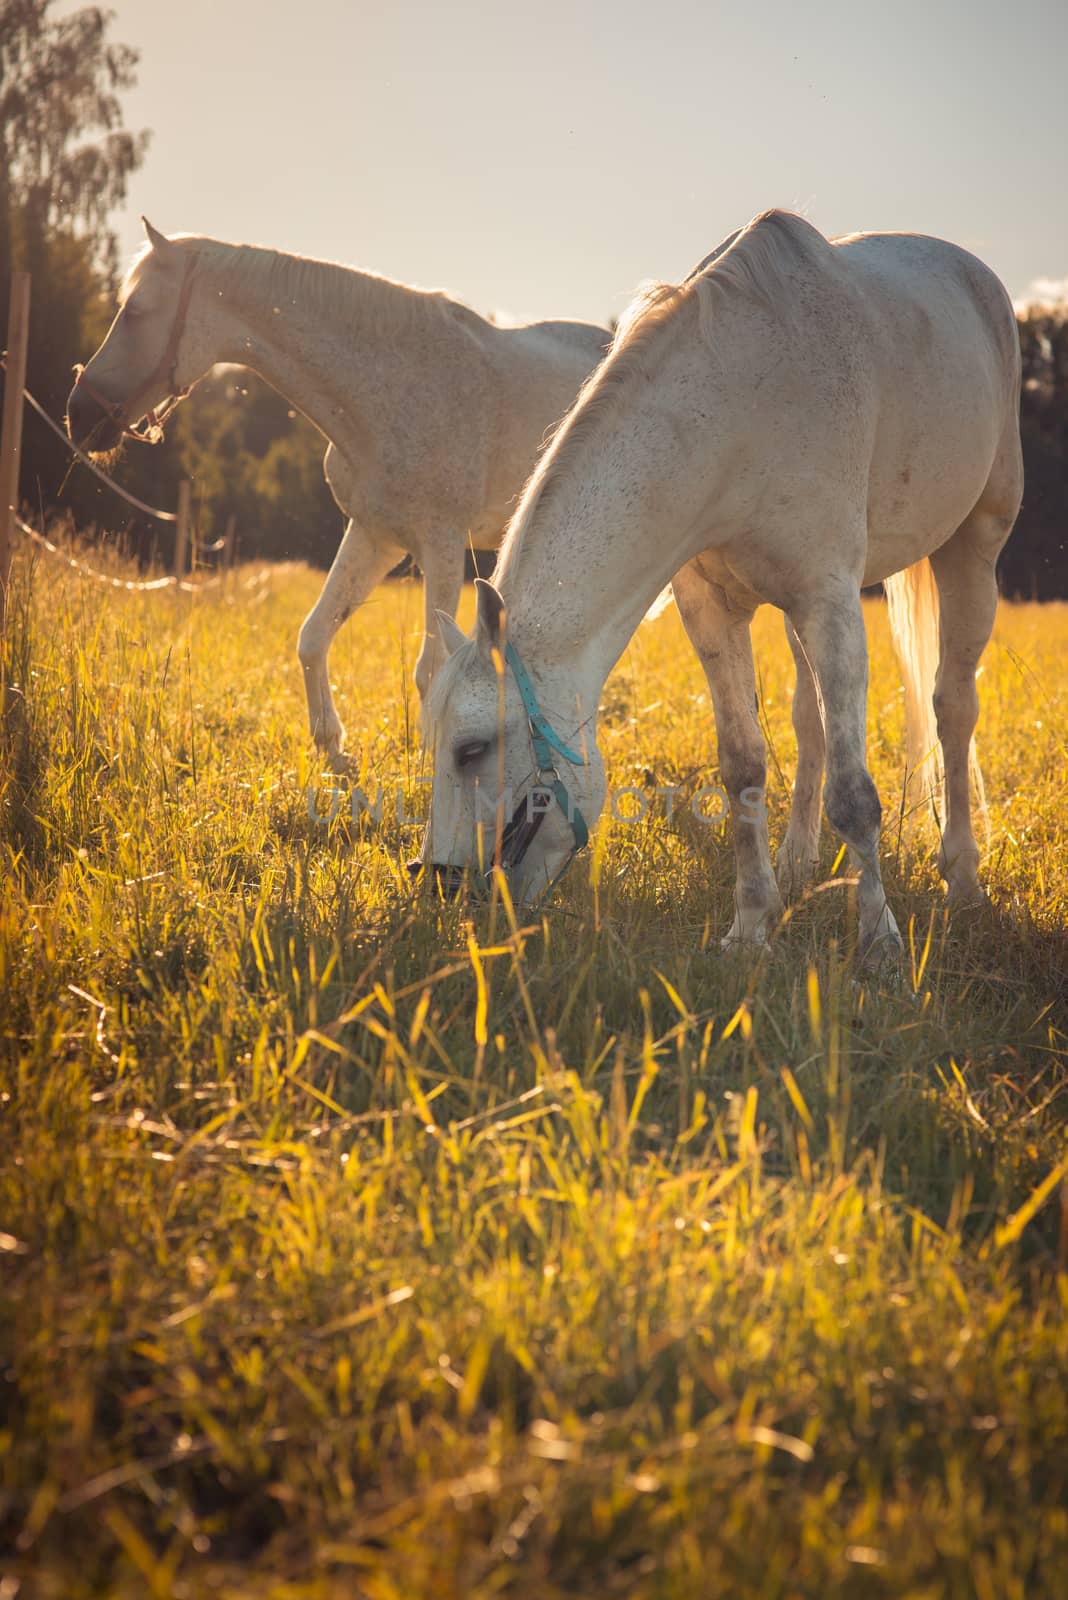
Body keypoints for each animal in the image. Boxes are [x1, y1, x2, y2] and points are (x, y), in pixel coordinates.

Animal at [68, 225, 607, 768]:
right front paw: (333, 750)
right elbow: (314, 635)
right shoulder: (376, 536)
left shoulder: (442, 543)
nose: (77, 414)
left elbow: (431, 669)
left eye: (134, 312)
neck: (389, 386)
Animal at [422, 212, 1023, 960]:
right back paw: (798, 863)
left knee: (953, 708)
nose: (441, 884)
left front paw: (879, 942)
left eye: (472, 748)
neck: (742, 409)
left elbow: (855, 793)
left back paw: (962, 880)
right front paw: (751, 925)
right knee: (812, 721)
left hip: (974, 546)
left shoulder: (829, 600)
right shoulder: (714, 611)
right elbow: (743, 768)